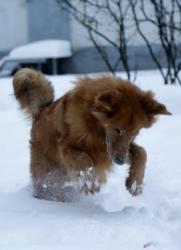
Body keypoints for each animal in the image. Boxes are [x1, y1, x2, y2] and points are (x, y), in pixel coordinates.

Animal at [12, 68, 171, 201]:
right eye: (117, 129)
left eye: (135, 132)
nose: (120, 161)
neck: (95, 127)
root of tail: (40, 113)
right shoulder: (66, 146)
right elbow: (84, 159)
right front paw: (90, 182)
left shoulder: (111, 151)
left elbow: (141, 152)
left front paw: (134, 184)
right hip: (50, 176)